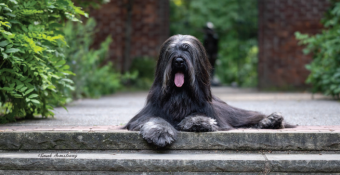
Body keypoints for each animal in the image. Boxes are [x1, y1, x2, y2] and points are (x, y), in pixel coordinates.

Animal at [123, 34, 294, 147]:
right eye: (171, 51)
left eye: (187, 50)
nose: (178, 61)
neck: (180, 95)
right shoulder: (145, 115)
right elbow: (154, 119)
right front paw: (160, 133)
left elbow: (200, 116)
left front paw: (198, 122)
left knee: (249, 117)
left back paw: (272, 119)